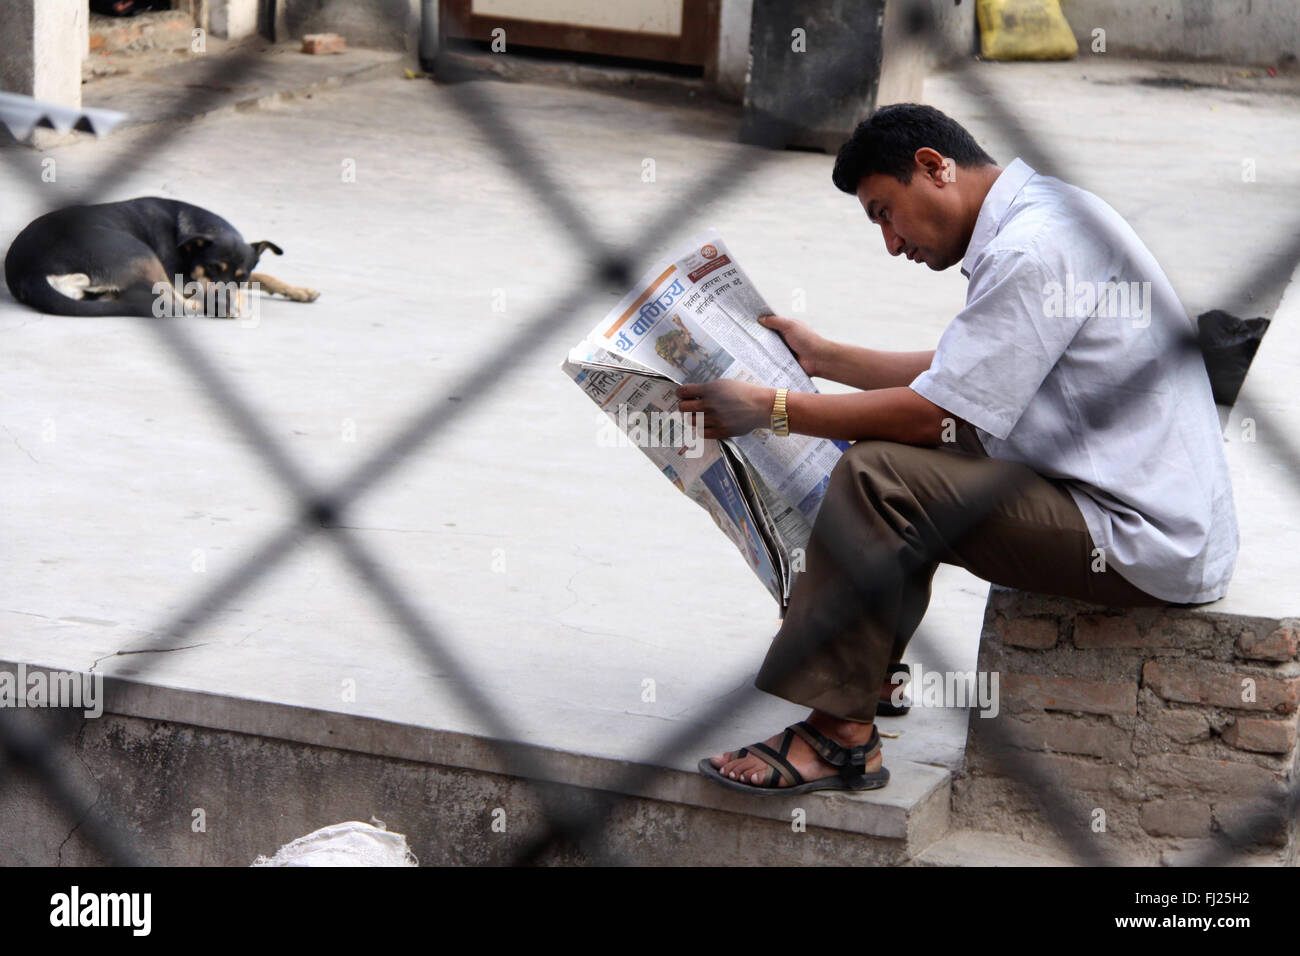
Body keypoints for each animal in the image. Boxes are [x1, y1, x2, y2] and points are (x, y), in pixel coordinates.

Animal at [3, 196, 318, 319]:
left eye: (240, 277)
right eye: (211, 267)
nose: (222, 305)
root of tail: (27, 273)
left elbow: (262, 275)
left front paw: (299, 291)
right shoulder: (185, 280)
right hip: (142, 254)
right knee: (174, 305)